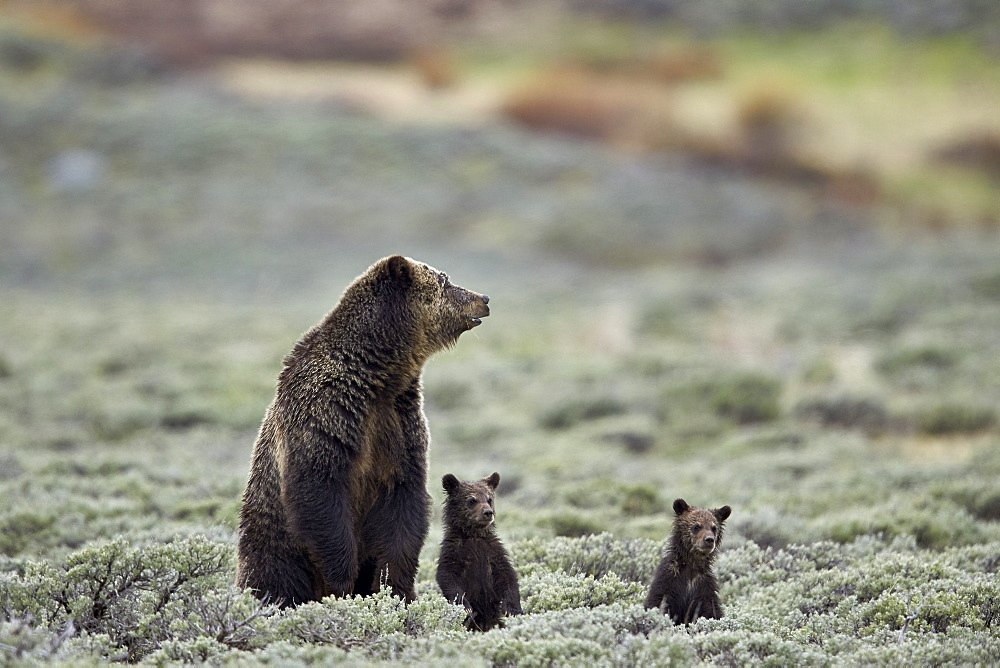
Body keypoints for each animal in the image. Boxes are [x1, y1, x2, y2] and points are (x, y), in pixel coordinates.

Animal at [239, 254, 496, 604]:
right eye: (444, 279)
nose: (484, 298)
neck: (378, 376)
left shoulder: (399, 425)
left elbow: (403, 508)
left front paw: (393, 587)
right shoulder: (328, 416)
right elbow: (320, 494)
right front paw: (341, 583)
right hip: (272, 538)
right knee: (274, 573)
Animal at [436, 470, 520, 632]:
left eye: (489, 499)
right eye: (472, 500)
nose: (488, 512)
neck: (473, 535)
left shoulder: (492, 551)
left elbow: (507, 575)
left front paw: (512, 609)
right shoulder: (454, 551)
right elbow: (447, 576)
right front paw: (465, 606)